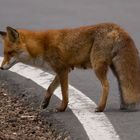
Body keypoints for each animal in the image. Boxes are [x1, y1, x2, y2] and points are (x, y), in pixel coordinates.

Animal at [0, 23, 140, 112]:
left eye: (10, 53)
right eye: (5, 53)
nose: (1, 68)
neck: (42, 46)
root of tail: (116, 26)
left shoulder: (62, 70)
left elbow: (64, 93)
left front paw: (62, 108)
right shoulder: (63, 70)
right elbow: (50, 88)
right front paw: (45, 103)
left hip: (97, 67)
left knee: (107, 86)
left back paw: (100, 108)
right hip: (115, 69)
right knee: (121, 86)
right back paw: (123, 106)